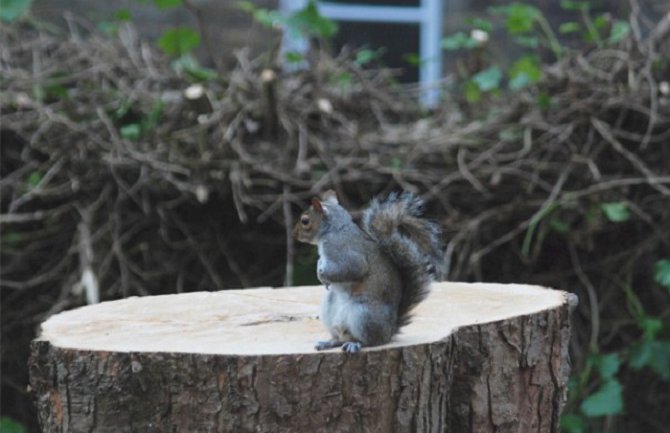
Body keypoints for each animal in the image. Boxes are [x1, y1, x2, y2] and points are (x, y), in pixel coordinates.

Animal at [292, 189, 440, 352]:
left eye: (305, 221)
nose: (294, 235)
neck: (334, 230)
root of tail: (389, 331)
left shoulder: (345, 252)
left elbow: (353, 269)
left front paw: (322, 275)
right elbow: (321, 262)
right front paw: (320, 271)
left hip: (364, 315)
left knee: (371, 341)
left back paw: (356, 344)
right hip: (330, 309)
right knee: (340, 337)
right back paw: (329, 342)